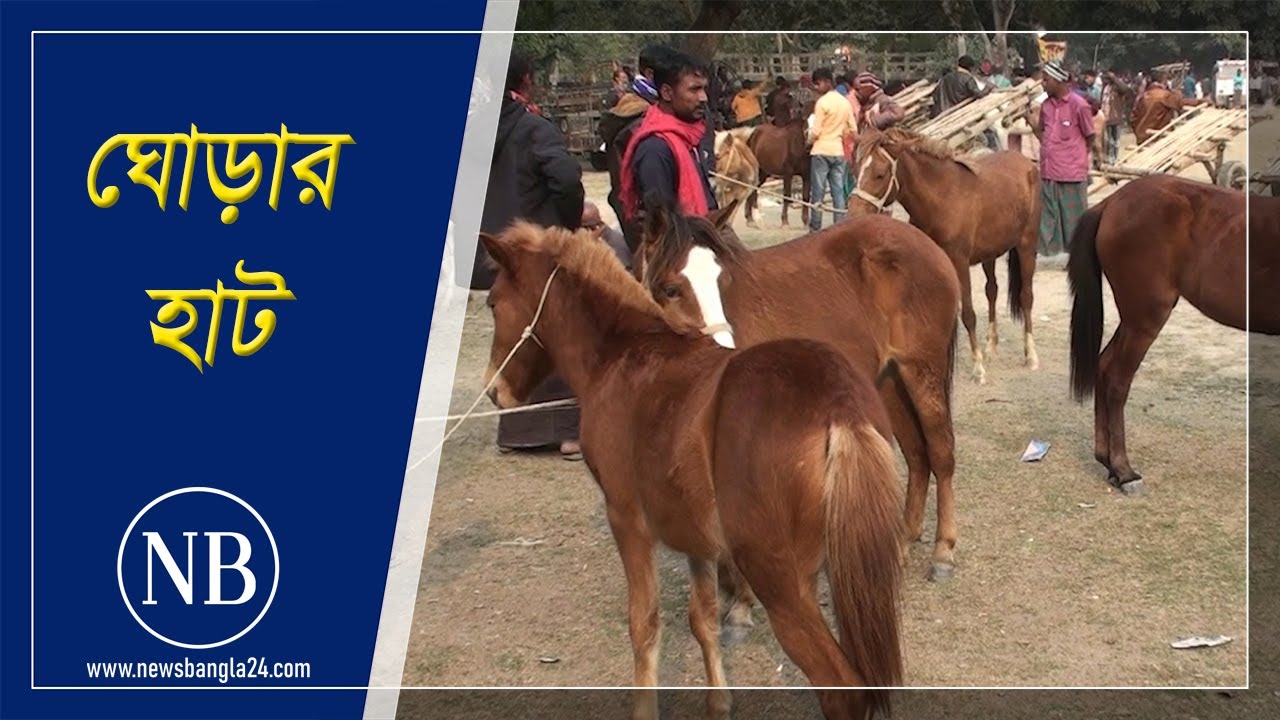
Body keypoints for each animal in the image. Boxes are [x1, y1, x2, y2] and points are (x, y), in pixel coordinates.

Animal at [479, 222, 904, 720]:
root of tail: (839, 407)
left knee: (843, 688)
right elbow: (702, 618)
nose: (495, 391)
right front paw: (718, 700)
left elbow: (643, 624)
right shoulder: (695, 536)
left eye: (492, 302)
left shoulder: (627, 521)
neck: (624, 353)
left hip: (781, 581)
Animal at [635, 194, 963, 585]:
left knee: (940, 454)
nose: (723, 350)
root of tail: (927, 245)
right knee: (917, 455)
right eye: (670, 289)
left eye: (722, 280)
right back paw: (902, 542)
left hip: (922, 371)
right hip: (890, 381)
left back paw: (943, 551)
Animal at [850, 127, 1041, 386]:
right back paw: (990, 347)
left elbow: (968, 314)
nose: (854, 213)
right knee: (992, 290)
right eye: (856, 169)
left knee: (1026, 296)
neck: (940, 198)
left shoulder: (959, 263)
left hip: (1027, 245)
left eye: (880, 174)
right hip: (989, 254)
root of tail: (1026, 162)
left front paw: (978, 369)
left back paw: (1030, 355)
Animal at [1069, 174, 1280, 495]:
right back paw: (1124, 471)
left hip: (1133, 319)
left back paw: (1108, 463)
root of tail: (1110, 203)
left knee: (1104, 366)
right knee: (1117, 379)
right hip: (1145, 319)